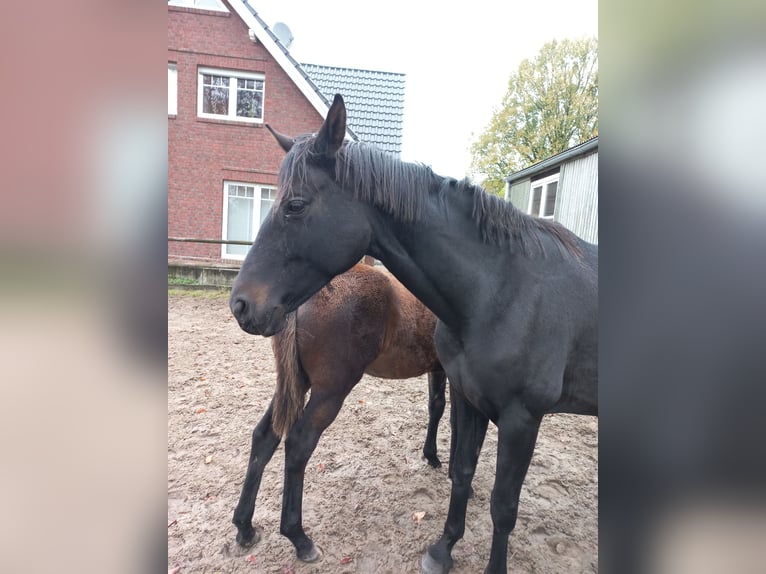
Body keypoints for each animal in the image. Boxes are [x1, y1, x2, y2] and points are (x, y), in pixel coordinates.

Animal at [230, 95, 600, 574]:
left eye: (294, 204)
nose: (242, 303)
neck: (503, 286)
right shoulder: (481, 398)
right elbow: (469, 459)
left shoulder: (491, 401)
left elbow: (455, 439)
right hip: (328, 387)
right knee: (296, 443)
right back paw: (297, 536)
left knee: (267, 438)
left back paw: (245, 525)